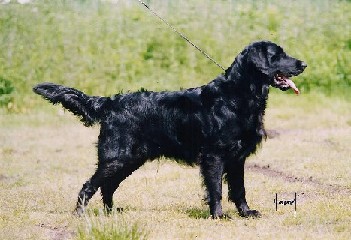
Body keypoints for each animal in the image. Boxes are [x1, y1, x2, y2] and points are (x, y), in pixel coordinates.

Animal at [33, 40, 308, 218]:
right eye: (277, 55)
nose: (303, 64)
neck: (236, 95)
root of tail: (111, 102)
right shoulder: (214, 155)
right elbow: (217, 189)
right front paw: (218, 216)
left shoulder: (237, 158)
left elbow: (239, 189)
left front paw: (246, 212)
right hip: (116, 158)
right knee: (90, 185)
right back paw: (80, 214)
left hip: (130, 160)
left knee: (108, 187)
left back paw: (112, 213)